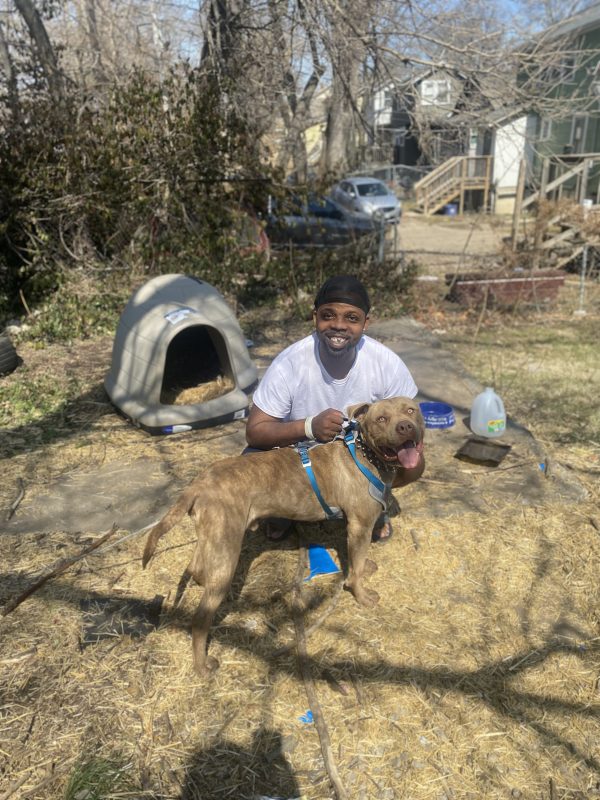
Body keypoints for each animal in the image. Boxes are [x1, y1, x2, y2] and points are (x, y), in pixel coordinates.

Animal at [142, 396, 424, 672]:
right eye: (381, 419)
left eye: (411, 410)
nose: (405, 426)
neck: (366, 455)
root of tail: (199, 483)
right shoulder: (360, 525)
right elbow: (354, 572)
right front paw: (362, 596)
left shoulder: (356, 529)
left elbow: (356, 561)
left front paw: (364, 568)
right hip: (227, 553)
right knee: (201, 619)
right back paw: (203, 666)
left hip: (214, 539)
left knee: (196, 566)